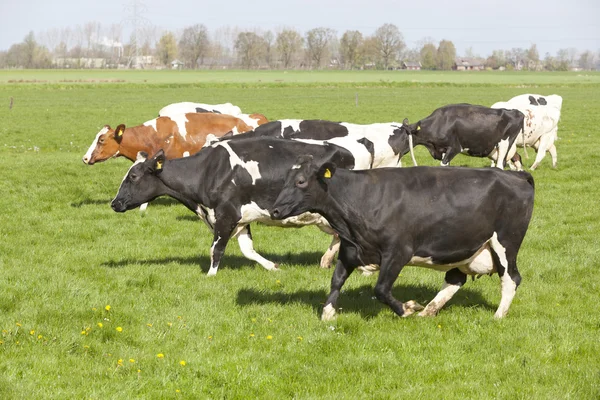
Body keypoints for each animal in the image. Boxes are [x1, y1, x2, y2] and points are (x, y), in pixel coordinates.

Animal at [110, 137, 356, 276]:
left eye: (133, 176)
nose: (114, 203)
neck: (208, 171)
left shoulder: (226, 214)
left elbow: (216, 249)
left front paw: (211, 276)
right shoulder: (241, 218)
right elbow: (248, 250)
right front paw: (272, 267)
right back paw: (326, 261)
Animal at [268, 156, 536, 318]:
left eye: (301, 181)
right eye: (285, 180)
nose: (275, 210)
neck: (362, 198)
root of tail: (515, 175)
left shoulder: (398, 252)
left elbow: (381, 289)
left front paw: (406, 308)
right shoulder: (350, 249)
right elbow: (336, 281)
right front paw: (328, 314)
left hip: (506, 243)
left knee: (511, 278)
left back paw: (498, 315)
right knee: (455, 279)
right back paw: (428, 311)